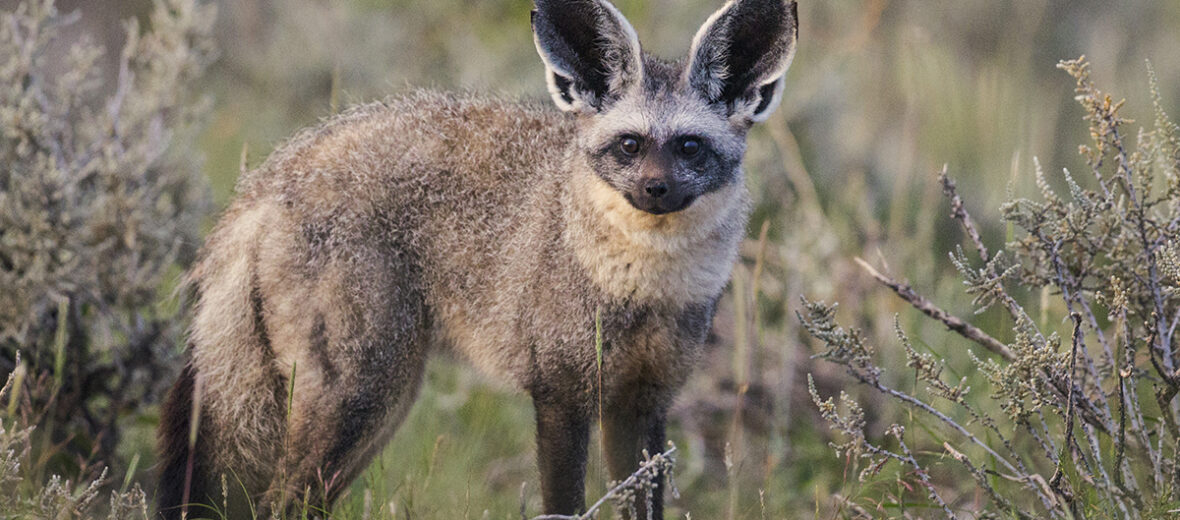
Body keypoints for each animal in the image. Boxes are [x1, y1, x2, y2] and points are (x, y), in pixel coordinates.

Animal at [156, 0, 797, 516]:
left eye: (689, 147)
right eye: (629, 145)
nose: (655, 189)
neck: (643, 289)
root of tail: (269, 176)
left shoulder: (643, 403)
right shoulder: (561, 393)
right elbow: (564, 506)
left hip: (377, 409)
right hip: (361, 398)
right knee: (279, 503)